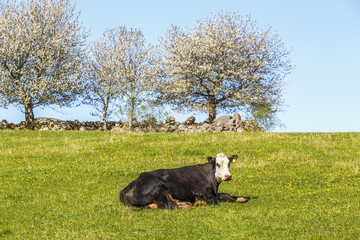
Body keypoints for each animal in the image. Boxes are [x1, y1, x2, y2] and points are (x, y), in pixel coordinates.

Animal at [119, 154, 249, 208]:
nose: (228, 176)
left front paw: (241, 198)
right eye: (217, 164)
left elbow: (226, 195)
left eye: (229, 163)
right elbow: (214, 200)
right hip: (158, 188)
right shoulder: (201, 192)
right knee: (167, 205)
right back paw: (185, 205)